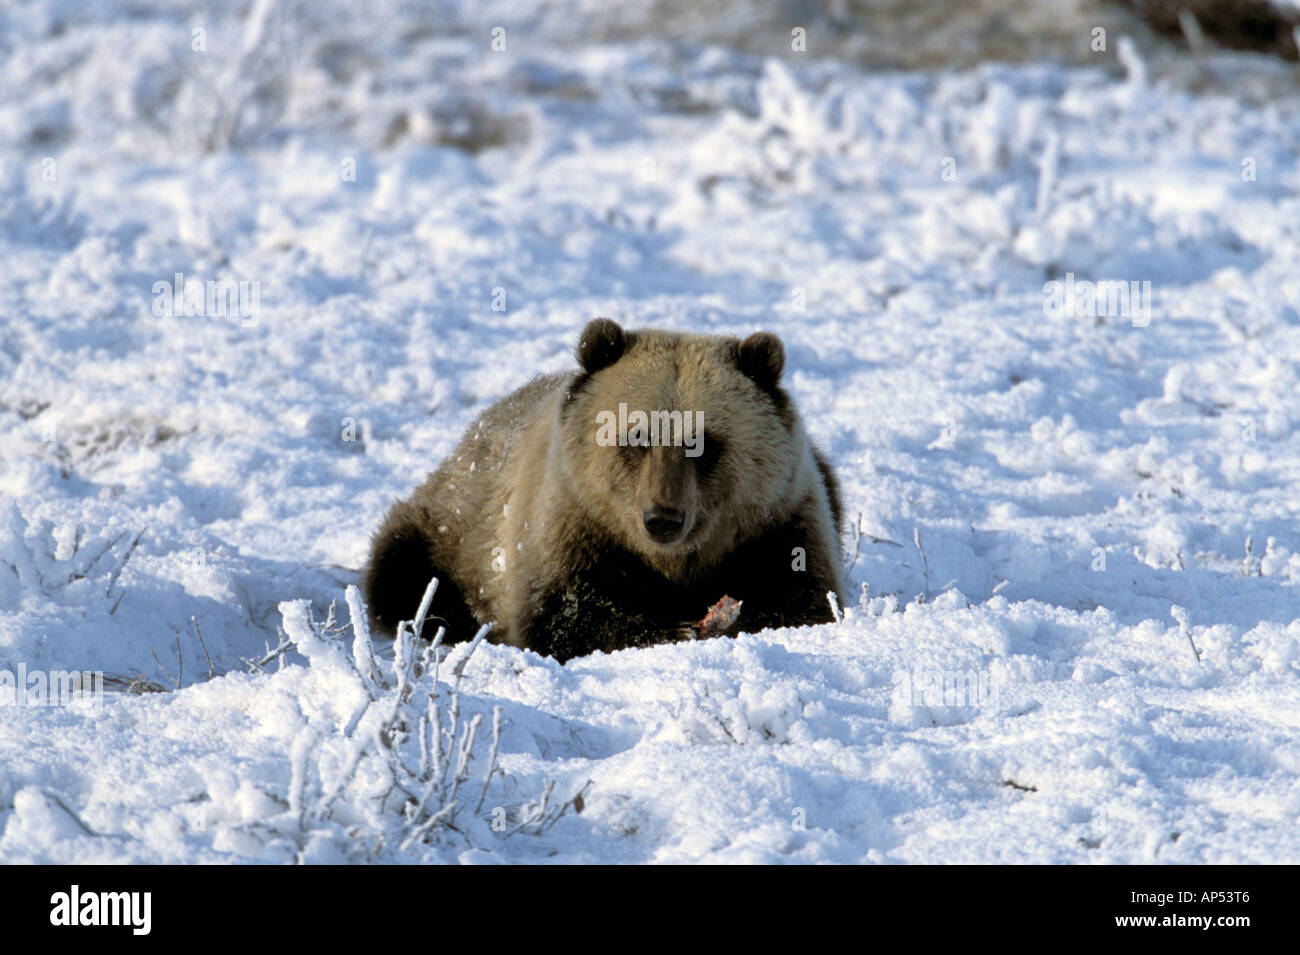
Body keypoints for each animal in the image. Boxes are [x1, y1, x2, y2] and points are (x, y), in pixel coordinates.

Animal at [361, 317, 842, 660]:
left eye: (702, 442)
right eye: (637, 435)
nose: (663, 519)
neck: (674, 564)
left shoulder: (779, 523)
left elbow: (804, 601)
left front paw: (724, 620)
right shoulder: (568, 523)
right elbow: (565, 616)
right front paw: (673, 628)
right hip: (452, 529)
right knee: (403, 574)